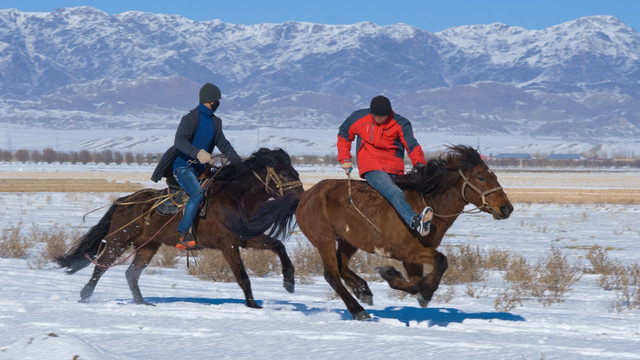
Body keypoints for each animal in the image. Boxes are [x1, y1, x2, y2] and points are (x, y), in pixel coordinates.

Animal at [57, 148, 302, 308]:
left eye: (296, 172)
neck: (235, 197)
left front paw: (289, 282)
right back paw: (85, 295)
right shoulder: (228, 244)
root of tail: (123, 202)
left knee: (131, 273)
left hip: (148, 246)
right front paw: (253, 305)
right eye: (284, 173)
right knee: (102, 266)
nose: (300, 195)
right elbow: (242, 276)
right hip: (119, 241)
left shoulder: (246, 237)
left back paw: (142, 302)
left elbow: (278, 245)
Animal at [224, 143, 510, 318]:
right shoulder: (409, 250)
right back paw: (358, 309)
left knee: (341, 266)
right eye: (482, 177)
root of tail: (304, 197)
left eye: (494, 175)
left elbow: (417, 279)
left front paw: (406, 285)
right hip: (324, 238)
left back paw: (363, 290)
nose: (506, 208)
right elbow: (440, 262)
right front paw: (411, 285)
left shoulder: (413, 256)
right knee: (332, 274)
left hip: (349, 240)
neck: (426, 207)